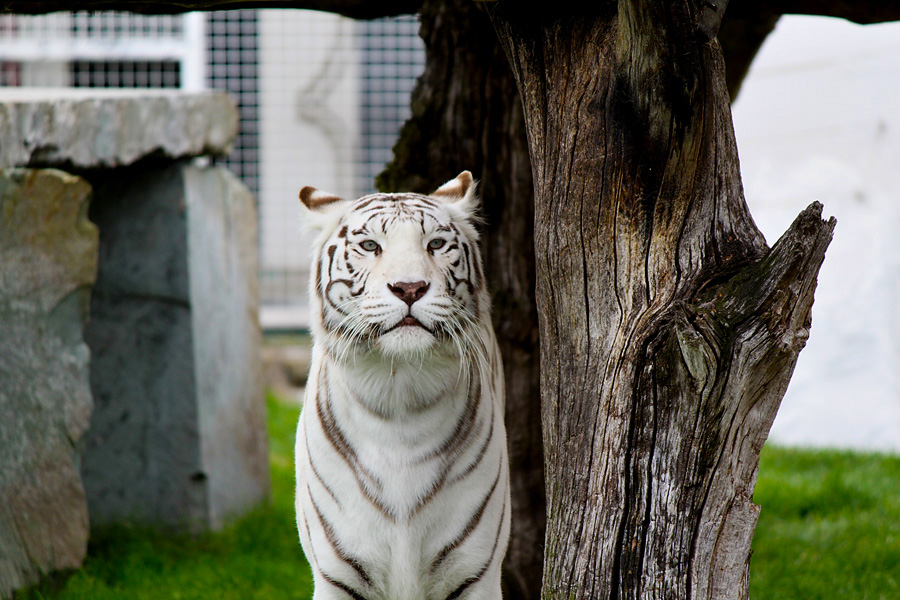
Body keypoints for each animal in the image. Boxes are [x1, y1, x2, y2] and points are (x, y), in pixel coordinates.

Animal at [294, 170, 510, 600]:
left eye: (436, 244)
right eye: (370, 246)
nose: (409, 288)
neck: (399, 396)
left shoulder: (474, 571)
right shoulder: (338, 573)